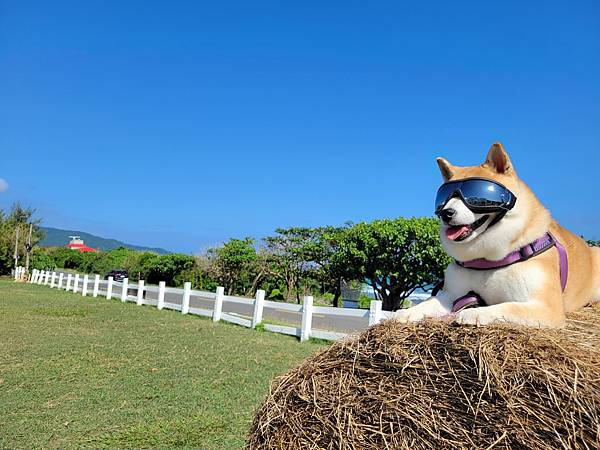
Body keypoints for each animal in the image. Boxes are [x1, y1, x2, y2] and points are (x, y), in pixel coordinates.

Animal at [394, 143, 600, 326]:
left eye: (478, 195)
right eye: (444, 198)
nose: (446, 212)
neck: (486, 261)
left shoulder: (546, 307)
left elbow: (508, 307)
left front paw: (476, 313)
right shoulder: (451, 295)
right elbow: (428, 304)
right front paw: (405, 312)